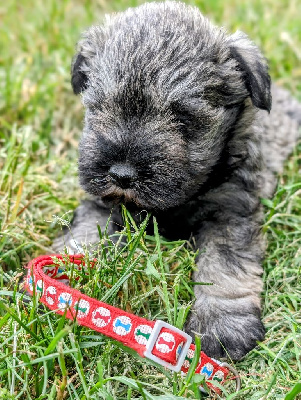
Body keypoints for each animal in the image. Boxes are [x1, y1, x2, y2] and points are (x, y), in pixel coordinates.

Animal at [54, 1, 300, 360]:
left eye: (183, 117)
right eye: (99, 107)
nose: (121, 174)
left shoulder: (229, 213)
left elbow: (223, 266)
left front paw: (222, 323)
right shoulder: (100, 200)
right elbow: (86, 231)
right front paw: (66, 272)